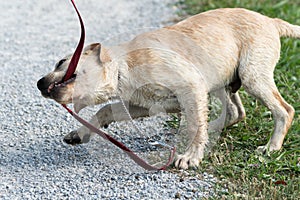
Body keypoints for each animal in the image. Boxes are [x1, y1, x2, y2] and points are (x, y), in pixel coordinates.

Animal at [37, 8, 298, 170]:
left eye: (61, 62)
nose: (39, 83)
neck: (123, 66)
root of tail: (271, 21)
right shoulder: (144, 104)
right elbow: (105, 110)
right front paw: (81, 133)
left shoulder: (191, 86)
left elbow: (195, 124)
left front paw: (191, 157)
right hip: (222, 80)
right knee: (235, 112)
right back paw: (212, 129)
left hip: (253, 77)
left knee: (284, 110)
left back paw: (271, 148)